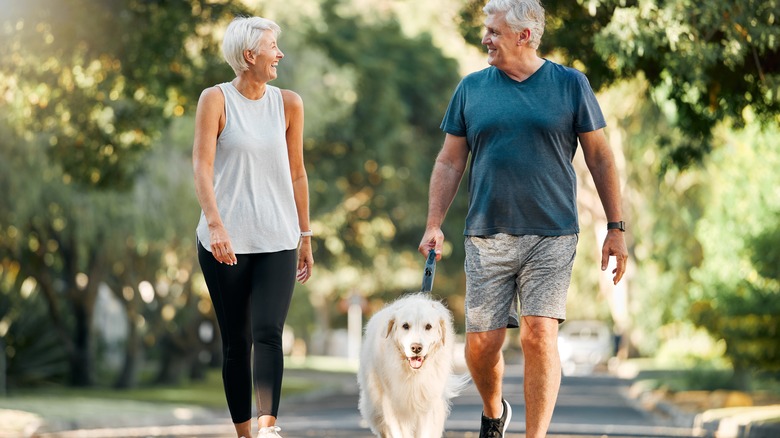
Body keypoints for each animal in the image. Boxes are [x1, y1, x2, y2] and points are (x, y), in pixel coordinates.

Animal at [356, 290, 466, 438]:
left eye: (428, 326)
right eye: (405, 326)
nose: (416, 348)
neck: (413, 374)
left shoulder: (427, 406)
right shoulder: (393, 406)